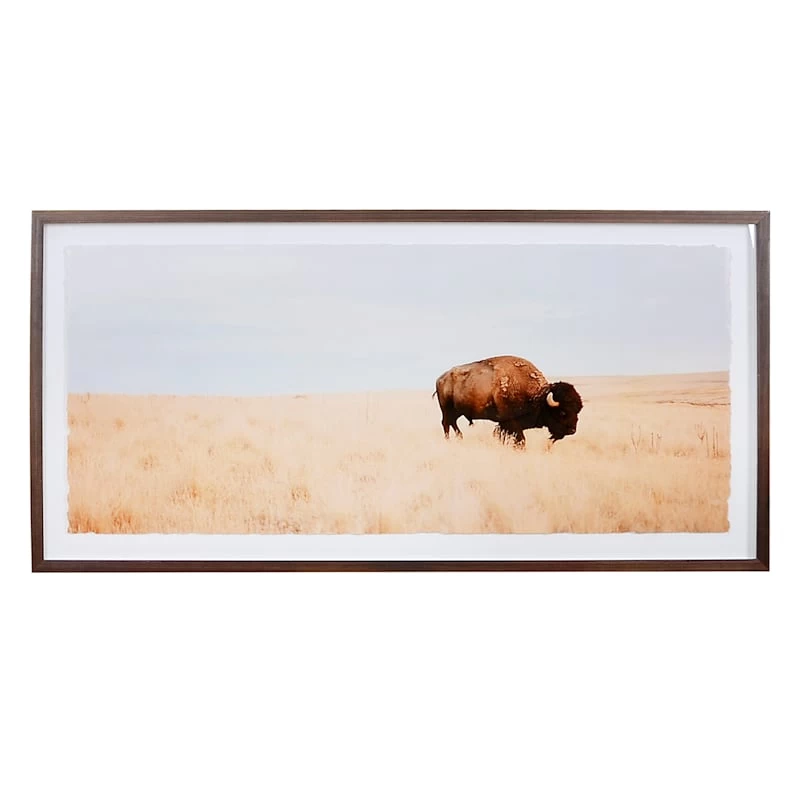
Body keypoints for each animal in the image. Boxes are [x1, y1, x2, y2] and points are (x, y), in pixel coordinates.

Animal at [434, 355, 583, 447]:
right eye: (562, 412)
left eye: (577, 410)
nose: (572, 430)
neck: (539, 398)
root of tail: (440, 378)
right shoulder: (511, 422)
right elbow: (520, 440)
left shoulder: (504, 424)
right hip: (446, 409)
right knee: (446, 424)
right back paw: (449, 440)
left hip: (457, 411)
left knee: (452, 423)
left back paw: (460, 438)